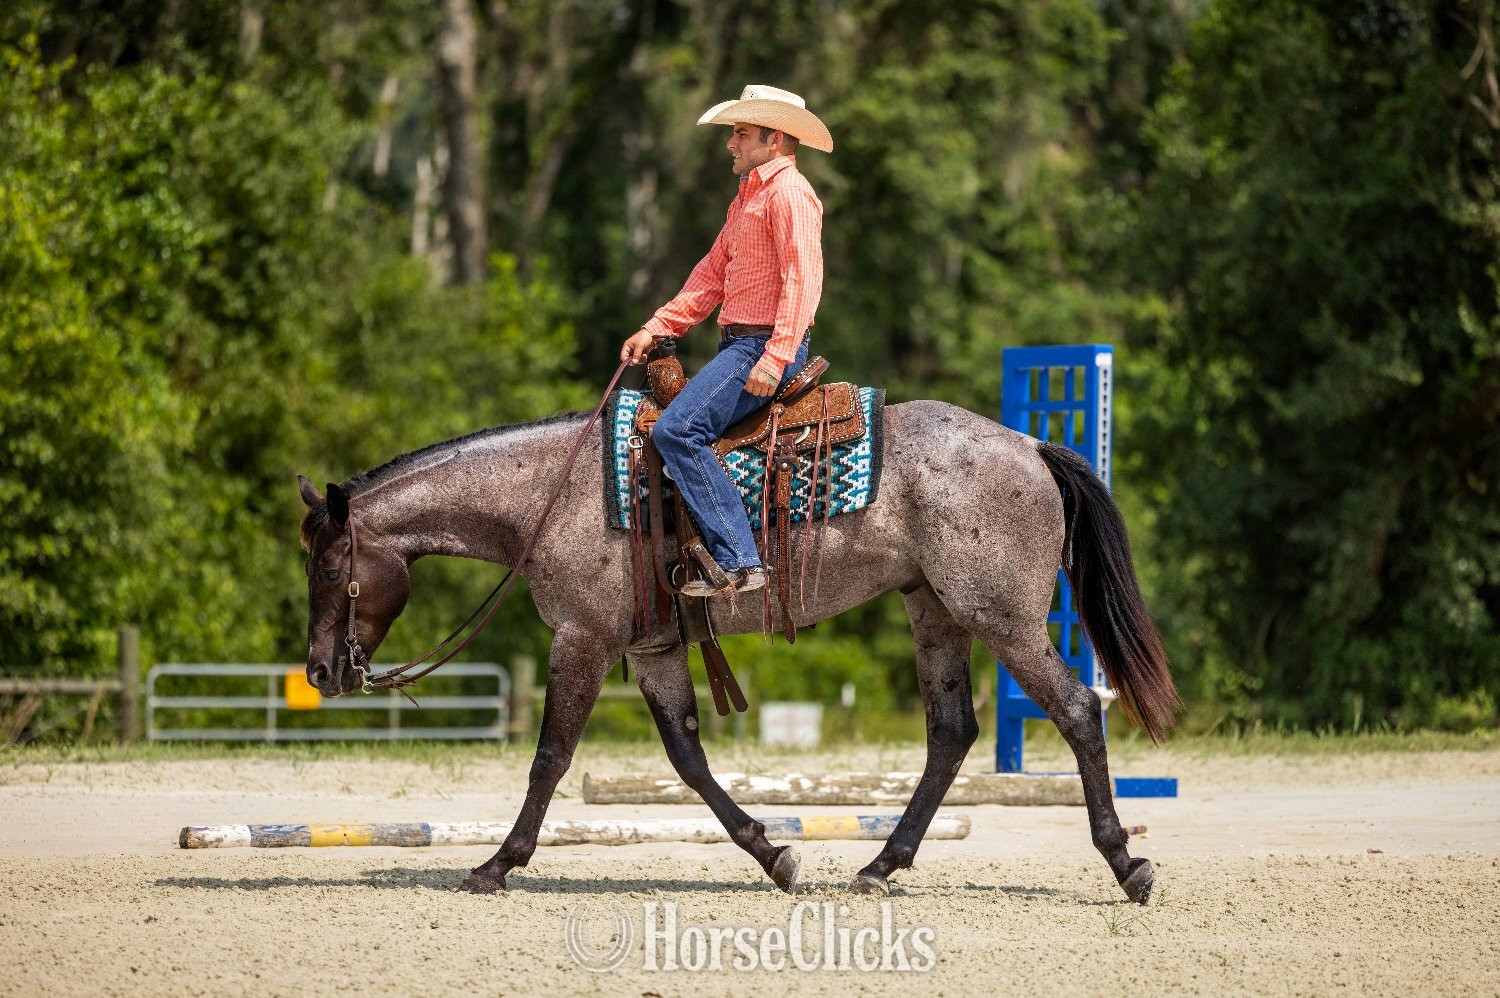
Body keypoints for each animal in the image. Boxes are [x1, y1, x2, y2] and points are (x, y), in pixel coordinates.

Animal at [297, 398, 1177, 902]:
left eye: (331, 567)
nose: (320, 671)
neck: (548, 493)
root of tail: (1029, 447)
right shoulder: (651, 646)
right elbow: (687, 757)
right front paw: (774, 855)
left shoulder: (582, 638)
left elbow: (549, 759)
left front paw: (496, 865)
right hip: (935, 611)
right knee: (951, 733)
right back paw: (879, 867)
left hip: (1001, 618)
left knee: (1076, 709)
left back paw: (1126, 865)